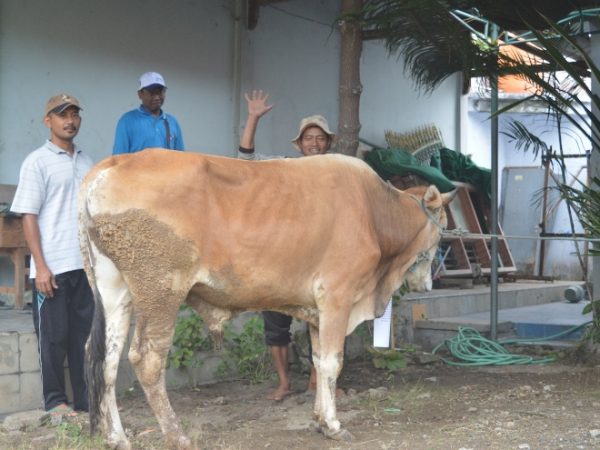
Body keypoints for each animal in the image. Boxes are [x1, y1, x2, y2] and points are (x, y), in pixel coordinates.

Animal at [79, 149, 452, 448]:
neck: (375, 211)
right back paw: (176, 435)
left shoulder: (316, 310)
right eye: (443, 227)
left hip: (116, 291)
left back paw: (116, 437)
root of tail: (112, 164)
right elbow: (333, 362)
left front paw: (320, 419)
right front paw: (334, 425)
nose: (428, 284)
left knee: (106, 360)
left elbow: (319, 361)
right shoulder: (337, 297)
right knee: (147, 360)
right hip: (161, 290)